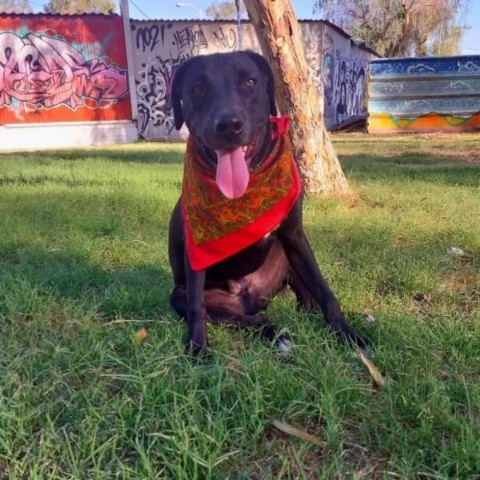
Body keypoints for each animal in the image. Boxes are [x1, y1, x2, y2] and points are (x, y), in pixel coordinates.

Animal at [167, 50, 366, 354]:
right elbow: (196, 307)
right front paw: (197, 348)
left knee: (305, 297)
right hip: (181, 295)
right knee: (249, 318)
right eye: (197, 89)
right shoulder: (195, 254)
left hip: (285, 257)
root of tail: (249, 295)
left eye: (250, 81)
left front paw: (347, 333)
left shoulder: (295, 236)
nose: (229, 125)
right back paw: (277, 333)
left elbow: (325, 291)